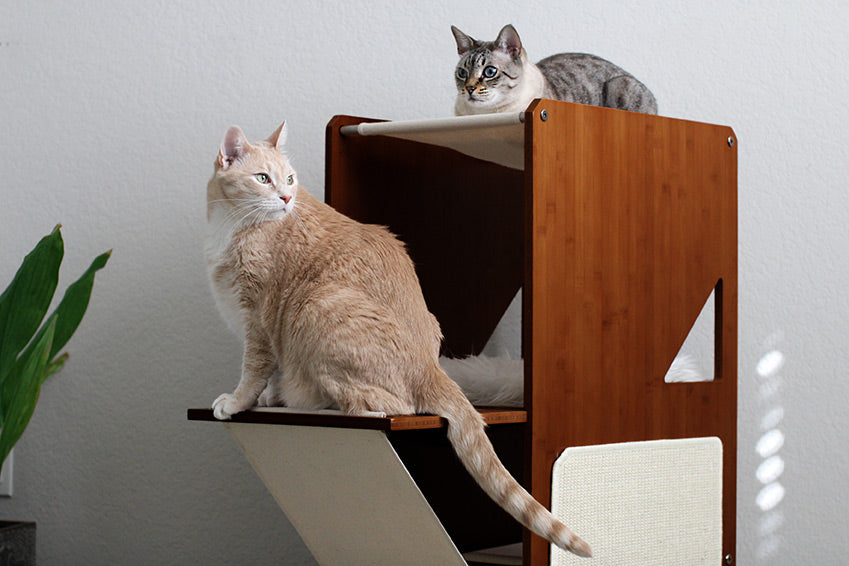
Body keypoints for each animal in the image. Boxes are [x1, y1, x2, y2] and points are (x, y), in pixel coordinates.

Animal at [205, 123, 588, 560]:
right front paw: (268, 398)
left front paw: (239, 402)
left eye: (289, 180)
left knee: (389, 406)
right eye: (263, 179)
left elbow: (253, 371)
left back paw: (324, 403)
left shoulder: (259, 320)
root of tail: (431, 367)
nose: (286, 199)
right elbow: (267, 374)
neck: (231, 224)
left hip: (318, 306)